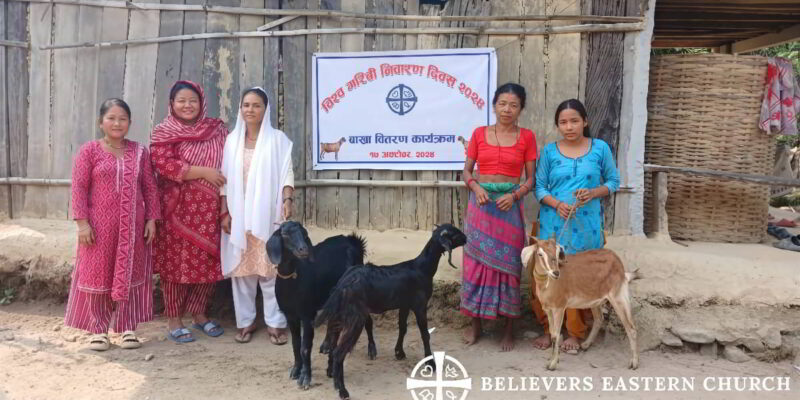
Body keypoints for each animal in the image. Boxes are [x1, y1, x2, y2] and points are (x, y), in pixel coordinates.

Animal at [264, 220, 374, 390]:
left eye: (304, 234)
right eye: (285, 234)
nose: (303, 249)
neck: (292, 280)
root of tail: (353, 241)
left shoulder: (307, 314)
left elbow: (305, 347)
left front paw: (305, 378)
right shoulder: (290, 315)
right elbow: (295, 344)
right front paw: (296, 370)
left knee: (366, 318)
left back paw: (371, 349)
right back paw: (327, 347)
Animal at [316, 223, 468, 398]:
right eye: (454, 233)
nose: (466, 238)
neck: (422, 268)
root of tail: (343, 284)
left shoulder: (404, 304)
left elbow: (402, 328)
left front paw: (399, 352)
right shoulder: (420, 305)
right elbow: (424, 333)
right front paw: (430, 363)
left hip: (340, 314)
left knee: (333, 343)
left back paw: (330, 373)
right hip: (355, 317)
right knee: (339, 351)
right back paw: (342, 390)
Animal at [520, 236, 640, 370]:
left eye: (557, 252)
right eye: (540, 254)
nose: (555, 273)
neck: (547, 284)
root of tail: (619, 264)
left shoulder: (559, 307)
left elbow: (556, 334)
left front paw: (553, 364)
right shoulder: (548, 309)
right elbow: (552, 334)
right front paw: (551, 360)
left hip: (618, 296)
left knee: (631, 327)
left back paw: (634, 363)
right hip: (596, 300)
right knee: (599, 318)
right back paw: (586, 344)